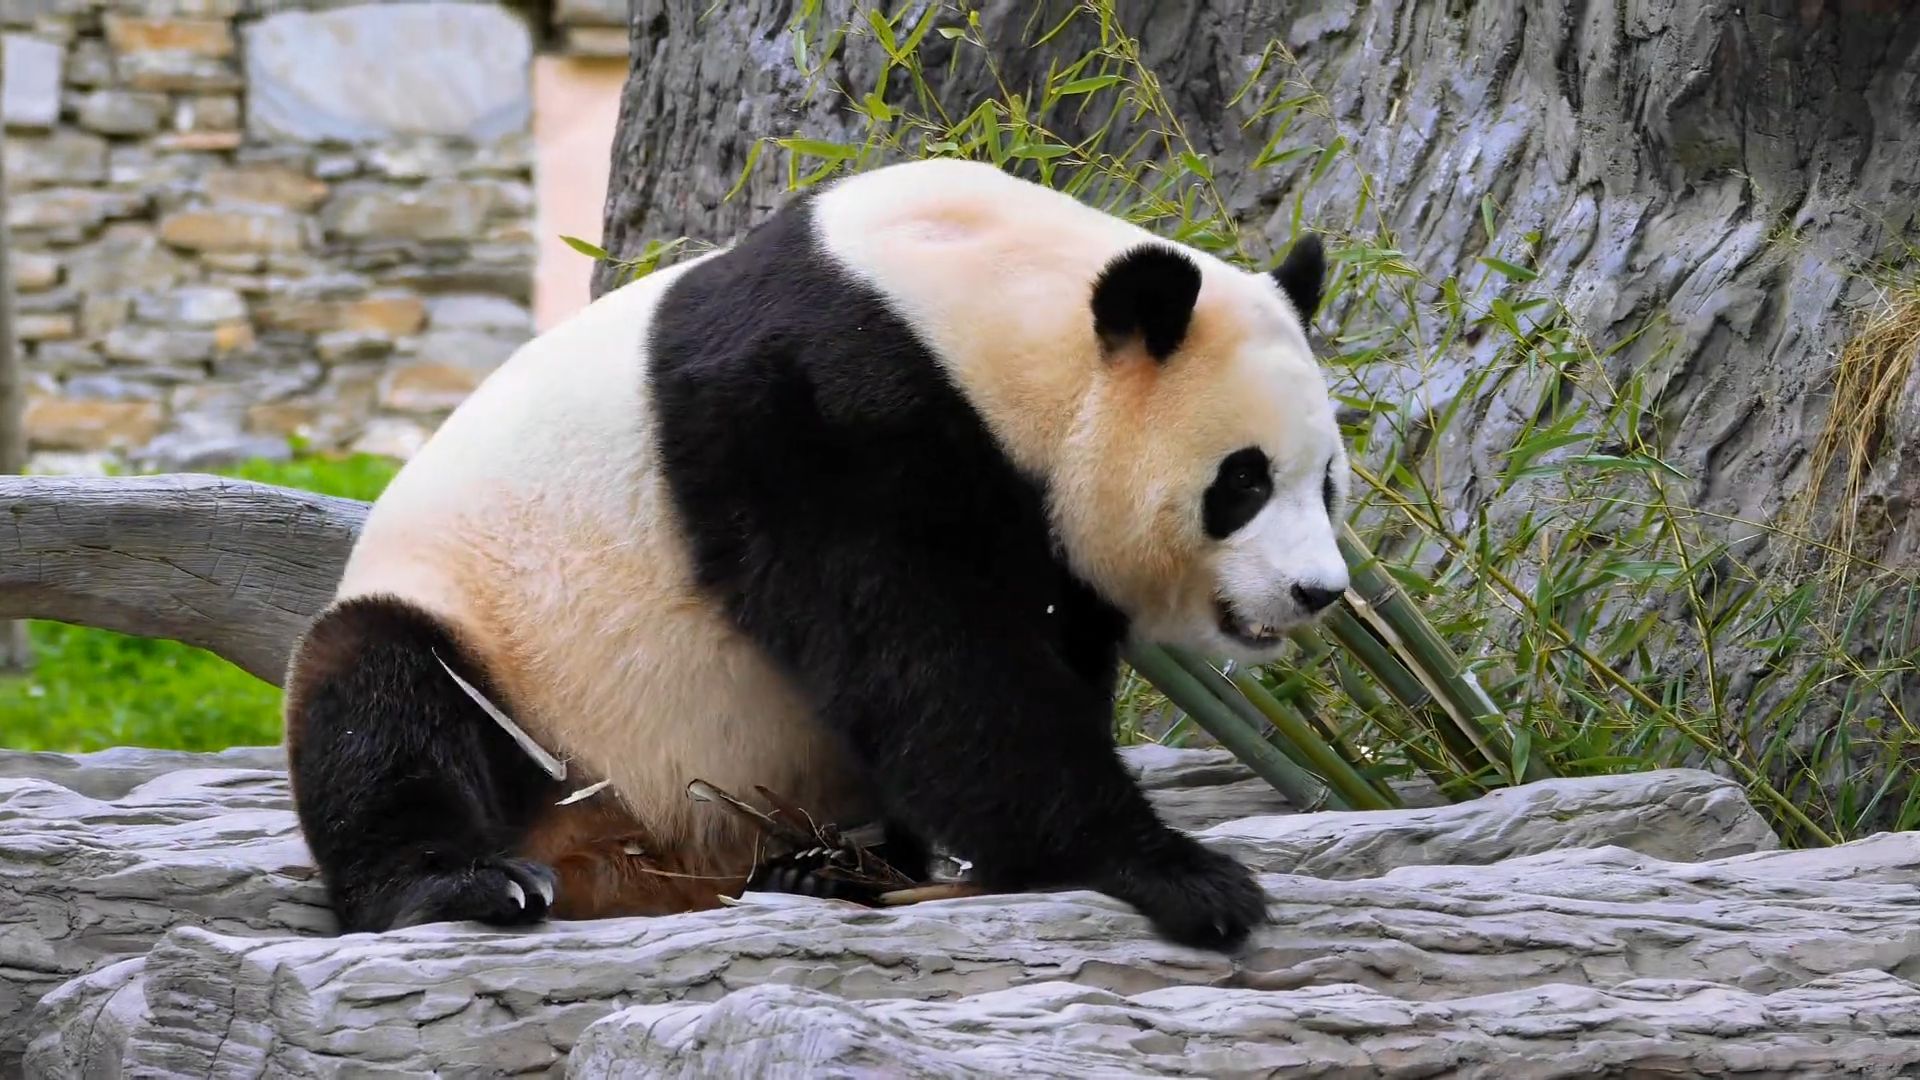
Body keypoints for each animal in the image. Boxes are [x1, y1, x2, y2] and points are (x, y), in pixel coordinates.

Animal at [288, 155, 1351, 945]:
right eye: (1243, 482)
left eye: (1328, 482)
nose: (1319, 592)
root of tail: (615, 856)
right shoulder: (820, 408)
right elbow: (928, 660)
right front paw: (1180, 872)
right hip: (504, 654)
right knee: (383, 699)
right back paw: (468, 884)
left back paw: (816, 870)